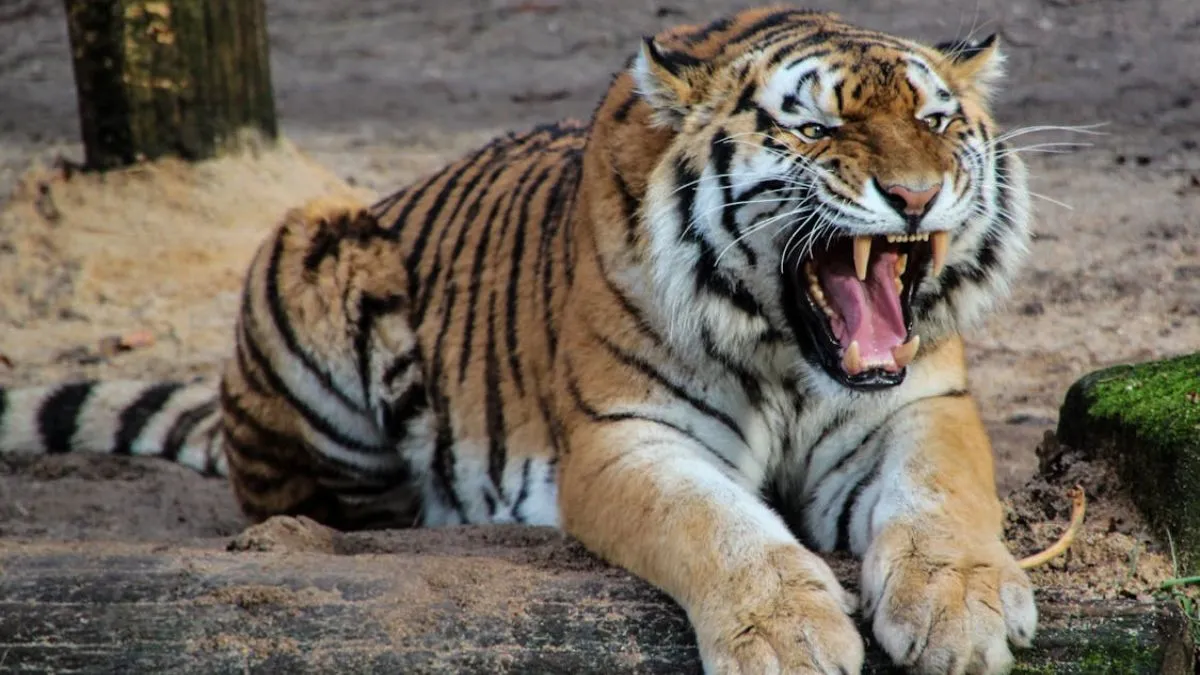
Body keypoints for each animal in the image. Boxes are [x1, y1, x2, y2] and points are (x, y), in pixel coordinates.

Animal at [0, 7, 1038, 674]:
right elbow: (717, 525)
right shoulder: (625, 437)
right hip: (313, 242)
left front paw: (962, 607)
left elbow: (944, 496)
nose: (915, 195)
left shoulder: (920, 404)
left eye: (936, 120)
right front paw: (789, 636)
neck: (789, 352)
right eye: (817, 128)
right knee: (309, 505)